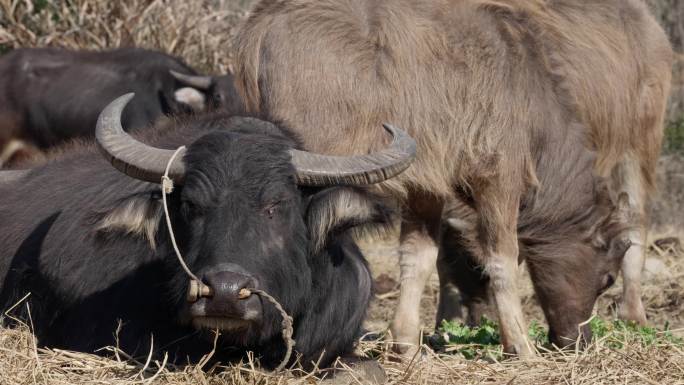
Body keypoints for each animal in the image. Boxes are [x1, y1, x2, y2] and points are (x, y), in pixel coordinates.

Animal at [232, 0, 672, 356]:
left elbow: (419, 257)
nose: (577, 342)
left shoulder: (424, 189)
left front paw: (406, 344)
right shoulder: (499, 179)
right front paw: (521, 345)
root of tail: (263, 23)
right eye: (606, 277)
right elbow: (502, 259)